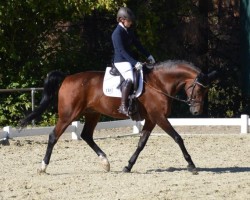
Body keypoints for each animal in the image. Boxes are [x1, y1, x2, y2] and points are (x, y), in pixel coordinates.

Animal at [19, 60, 217, 174]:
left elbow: (141, 143)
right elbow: (177, 137)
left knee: (87, 136)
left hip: (92, 113)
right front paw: (191, 165)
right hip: (68, 115)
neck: (159, 83)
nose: (196, 112)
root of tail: (67, 78)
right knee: (53, 136)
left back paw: (105, 163)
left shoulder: (151, 119)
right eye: (199, 89)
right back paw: (43, 167)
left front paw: (128, 166)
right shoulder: (159, 117)